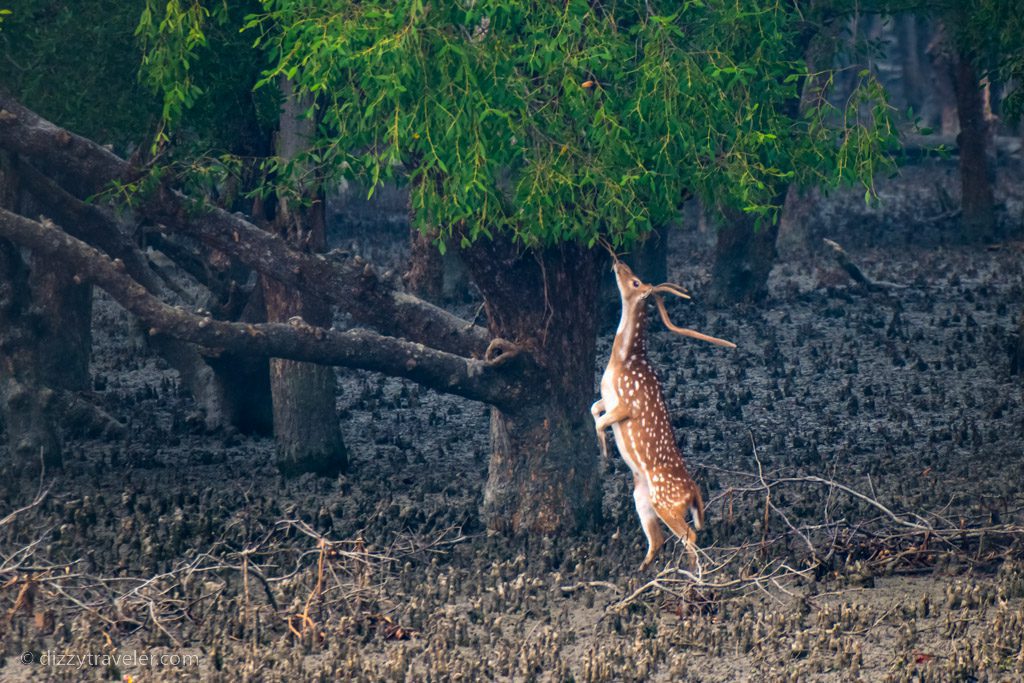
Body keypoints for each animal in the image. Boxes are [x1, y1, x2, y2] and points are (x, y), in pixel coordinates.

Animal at [593, 250, 737, 573]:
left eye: (635, 281)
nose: (618, 262)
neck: (624, 361)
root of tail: (693, 493)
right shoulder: (606, 398)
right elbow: (594, 409)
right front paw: (605, 451)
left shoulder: (627, 403)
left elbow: (600, 421)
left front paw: (605, 455)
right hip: (642, 497)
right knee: (659, 539)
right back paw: (643, 570)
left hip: (665, 500)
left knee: (690, 534)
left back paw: (691, 574)